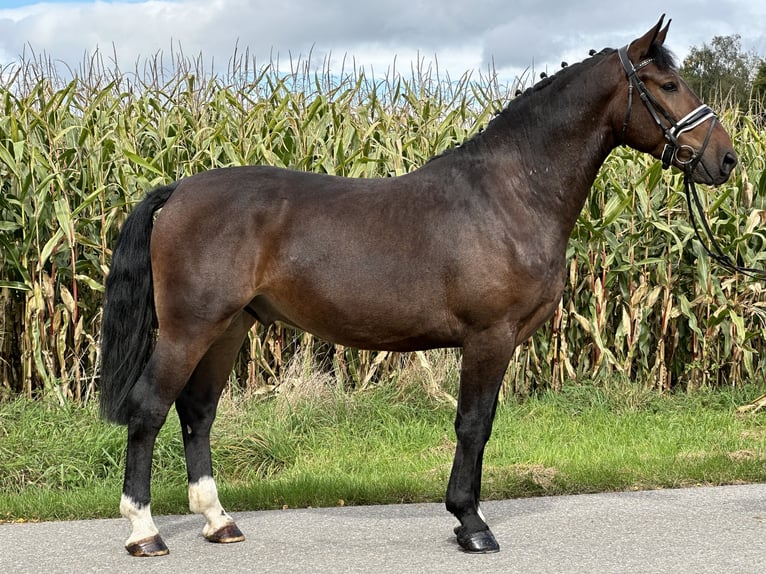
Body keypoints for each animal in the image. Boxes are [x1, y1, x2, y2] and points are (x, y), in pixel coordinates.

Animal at [97, 16, 736, 560]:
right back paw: (144, 532)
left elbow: (482, 422)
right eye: (669, 84)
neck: (509, 193)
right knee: (149, 409)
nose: (726, 159)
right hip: (189, 328)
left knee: (197, 411)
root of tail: (178, 191)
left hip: (230, 327)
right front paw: (471, 524)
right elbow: (473, 423)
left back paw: (218, 521)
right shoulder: (489, 337)